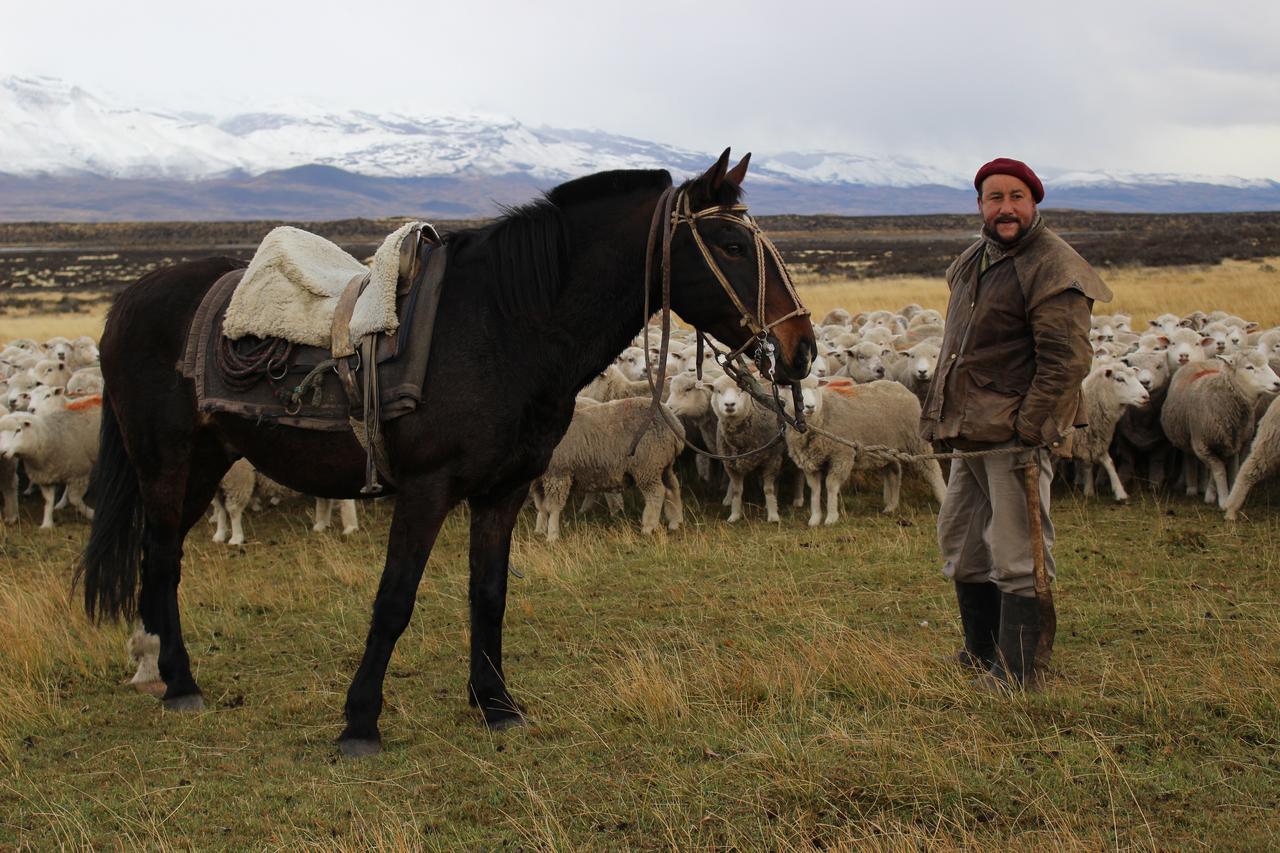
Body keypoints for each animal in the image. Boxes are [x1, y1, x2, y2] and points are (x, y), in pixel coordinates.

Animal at [80, 149, 814, 753]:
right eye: (730, 243)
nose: (801, 347)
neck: (502, 326)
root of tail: (130, 300)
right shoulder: (426, 488)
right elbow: (395, 599)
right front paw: (360, 722)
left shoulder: (504, 490)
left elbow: (488, 594)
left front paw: (496, 704)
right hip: (167, 461)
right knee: (161, 559)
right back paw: (179, 683)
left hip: (205, 461)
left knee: (158, 560)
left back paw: (158, 669)